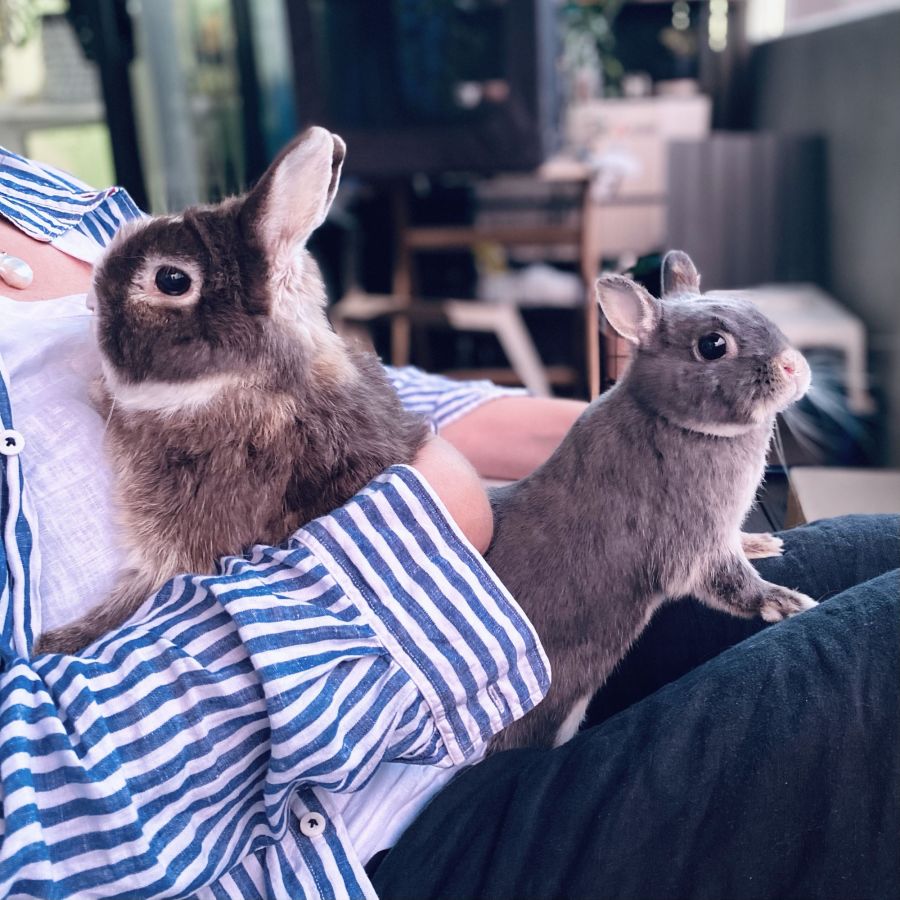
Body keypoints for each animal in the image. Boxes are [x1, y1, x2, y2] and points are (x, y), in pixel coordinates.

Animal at [35, 127, 430, 655]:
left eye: (172, 279)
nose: (89, 303)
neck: (248, 385)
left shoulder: (180, 552)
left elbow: (135, 601)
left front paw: (54, 643)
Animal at [485, 250, 817, 752]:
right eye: (713, 345)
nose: (794, 366)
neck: (671, 417)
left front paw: (762, 543)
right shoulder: (694, 542)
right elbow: (733, 583)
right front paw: (789, 603)